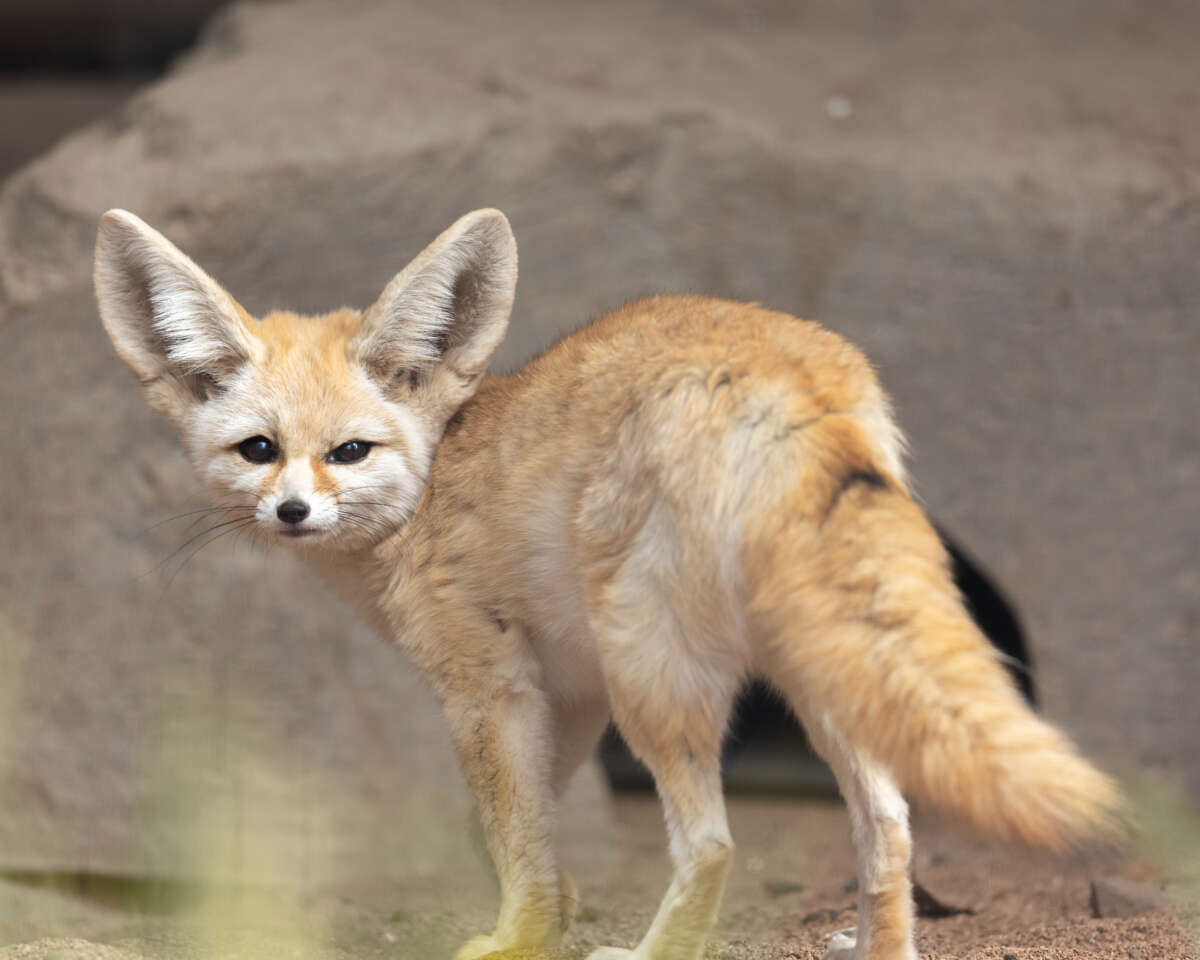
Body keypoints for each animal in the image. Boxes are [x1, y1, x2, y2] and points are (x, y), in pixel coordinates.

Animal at [93, 207, 1124, 960]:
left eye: (350, 452)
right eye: (258, 451)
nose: (293, 512)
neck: (435, 482)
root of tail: (783, 362)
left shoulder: (488, 688)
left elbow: (513, 835)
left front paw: (520, 940)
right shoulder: (571, 693)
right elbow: (517, 835)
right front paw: (556, 912)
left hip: (653, 684)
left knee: (714, 846)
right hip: (810, 679)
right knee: (892, 828)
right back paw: (882, 949)